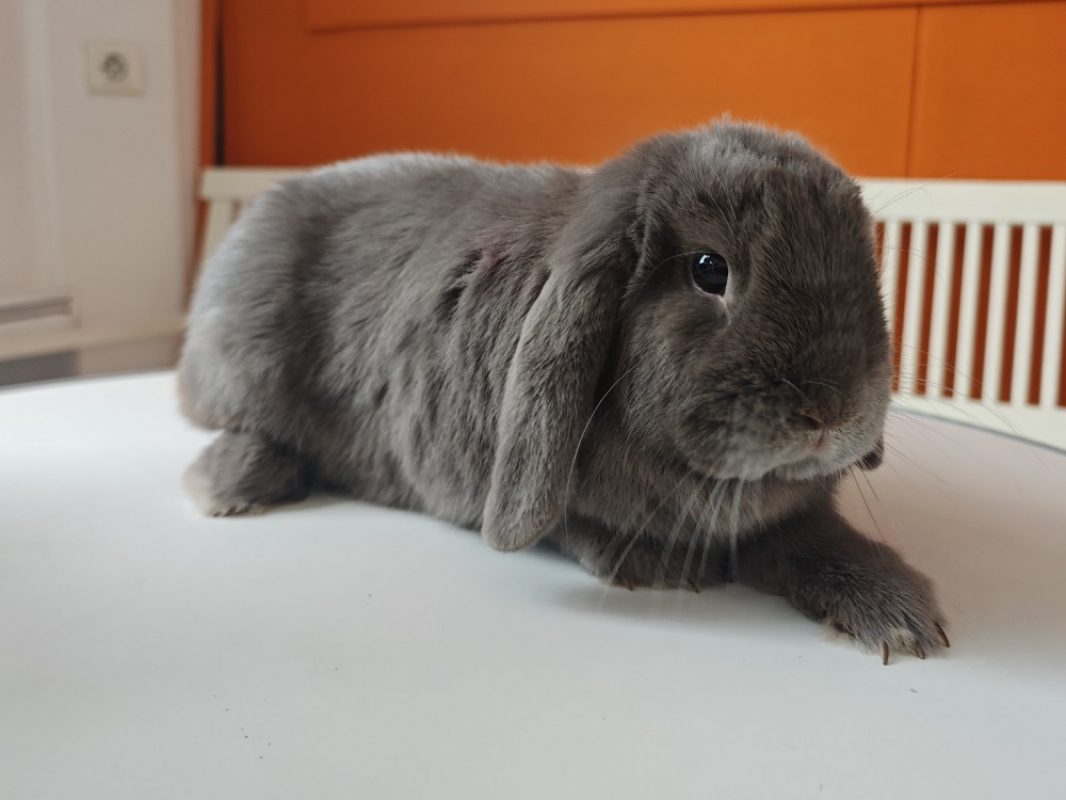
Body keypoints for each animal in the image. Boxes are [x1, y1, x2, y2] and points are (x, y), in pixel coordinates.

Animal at [178, 120, 948, 663]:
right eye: (709, 269)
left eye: (865, 265)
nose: (832, 413)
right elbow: (576, 524)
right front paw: (658, 568)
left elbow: (819, 539)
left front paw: (903, 616)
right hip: (244, 371)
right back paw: (230, 485)